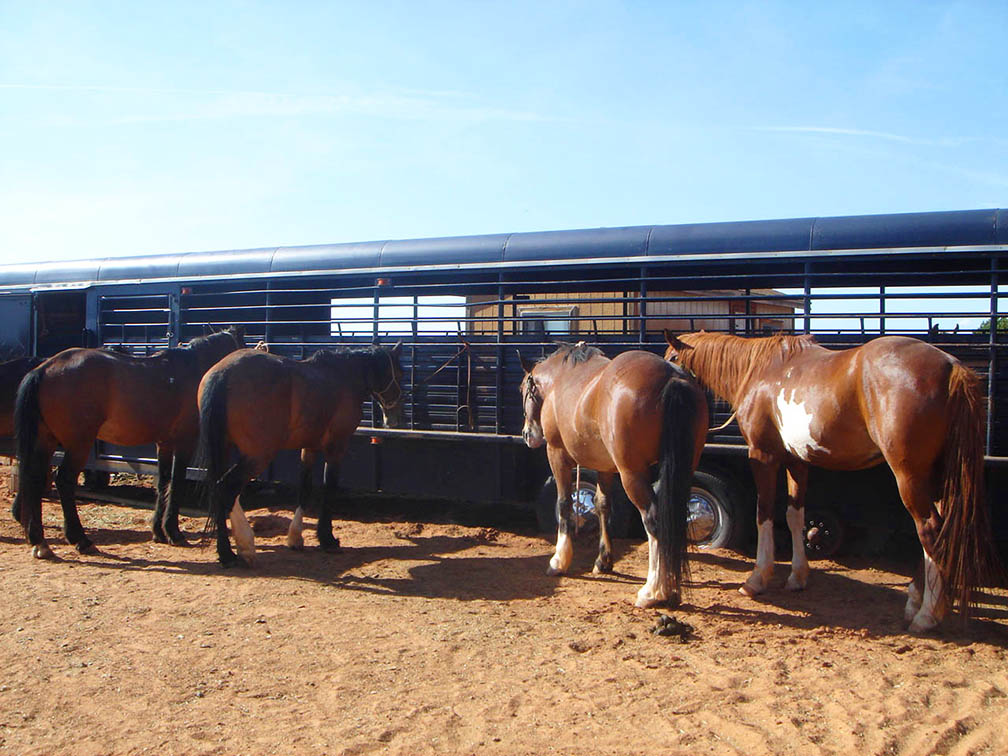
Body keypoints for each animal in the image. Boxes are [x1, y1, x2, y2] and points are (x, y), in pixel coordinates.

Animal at [14, 328, 246, 560]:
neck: (191, 369)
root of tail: (44, 369)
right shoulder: (184, 442)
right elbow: (177, 482)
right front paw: (173, 532)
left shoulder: (164, 443)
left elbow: (163, 483)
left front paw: (159, 532)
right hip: (78, 444)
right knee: (64, 481)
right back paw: (81, 539)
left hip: (45, 441)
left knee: (34, 480)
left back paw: (40, 542)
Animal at [196, 342, 401, 568]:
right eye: (399, 373)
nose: (394, 418)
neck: (342, 376)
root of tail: (222, 374)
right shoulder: (336, 446)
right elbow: (329, 487)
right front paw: (327, 539)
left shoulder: (308, 447)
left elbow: (305, 487)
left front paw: (295, 537)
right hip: (258, 455)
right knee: (226, 490)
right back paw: (234, 550)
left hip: (224, 449)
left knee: (219, 489)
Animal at [520, 342, 709, 608]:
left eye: (524, 391)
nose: (527, 435)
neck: (560, 380)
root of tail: (671, 377)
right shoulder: (605, 467)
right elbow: (602, 506)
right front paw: (603, 560)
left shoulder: (556, 454)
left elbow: (564, 503)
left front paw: (559, 560)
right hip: (682, 470)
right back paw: (670, 588)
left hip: (632, 474)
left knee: (654, 519)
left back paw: (653, 591)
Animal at [661, 330, 999, 633]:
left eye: (672, 358)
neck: (759, 371)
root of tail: (950, 365)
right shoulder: (797, 461)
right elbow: (794, 515)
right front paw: (798, 577)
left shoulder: (763, 456)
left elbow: (764, 514)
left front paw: (757, 579)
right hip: (938, 475)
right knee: (940, 531)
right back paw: (917, 599)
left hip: (910, 475)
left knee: (929, 529)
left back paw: (927, 615)